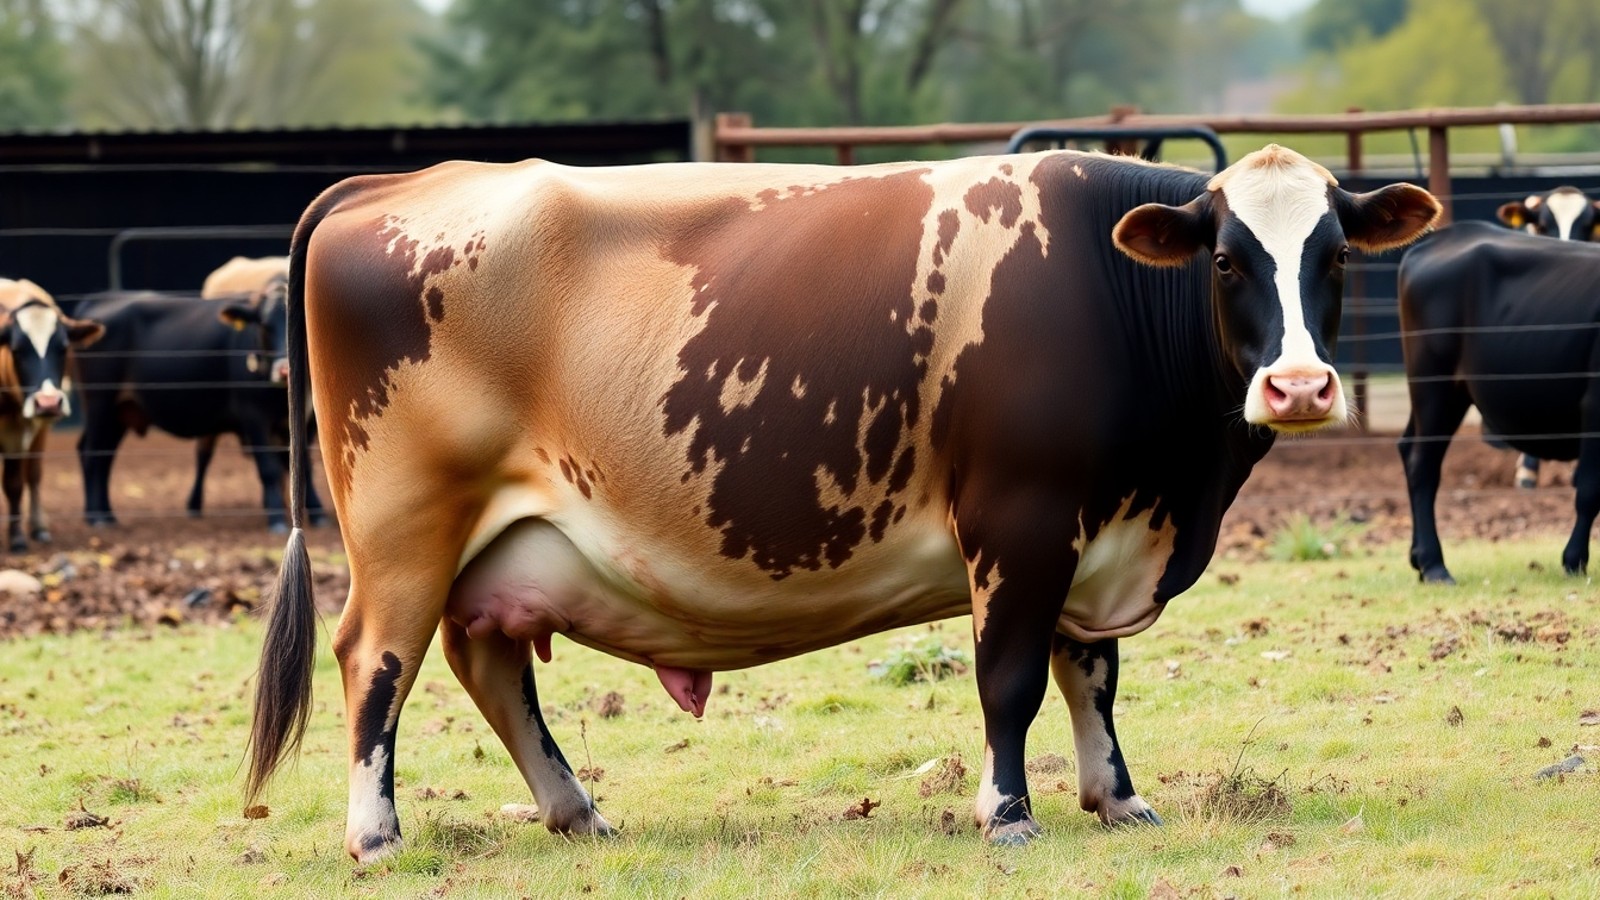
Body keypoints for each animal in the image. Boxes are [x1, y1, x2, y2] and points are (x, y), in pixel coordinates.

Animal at [0, 279, 104, 552]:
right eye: (17, 349)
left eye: (64, 348)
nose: (48, 402)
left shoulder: (16, 434)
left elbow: (14, 483)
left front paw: (17, 538)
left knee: (33, 475)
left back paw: (39, 527)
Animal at [73, 289, 326, 531]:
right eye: (265, 324)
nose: (285, 371)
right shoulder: (254, 418)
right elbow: (269, 469)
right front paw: (276, 520)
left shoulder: (305, 423)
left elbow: (303, 467)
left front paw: (318, 514)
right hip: (99, 403)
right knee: (92, 455)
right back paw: (96, 517)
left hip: (118, 414)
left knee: (104, 458)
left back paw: (106, 515)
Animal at [243, 146, 1439, 861]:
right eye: (1227, 261)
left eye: (1334, 255)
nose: (1299, 386)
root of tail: (391, 185)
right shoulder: (1020, 522)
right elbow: (1011, 680)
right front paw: (1007, 814)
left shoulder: (1090, 529)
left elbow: (1089, 676)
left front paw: (1117, 797)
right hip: (406, 527)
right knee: (377, 661)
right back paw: (377, 833)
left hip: (497, 545)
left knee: (484, 666)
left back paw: (576, 812)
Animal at [1398, 221, 1600, 584]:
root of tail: (1441, 237)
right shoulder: (1594, 404)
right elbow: (1590, 489)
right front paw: (1574, 561)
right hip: (1435, 386)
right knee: (1423, 463)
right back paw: (1434, 565)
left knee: (1408, 449)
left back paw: (1418, 558)